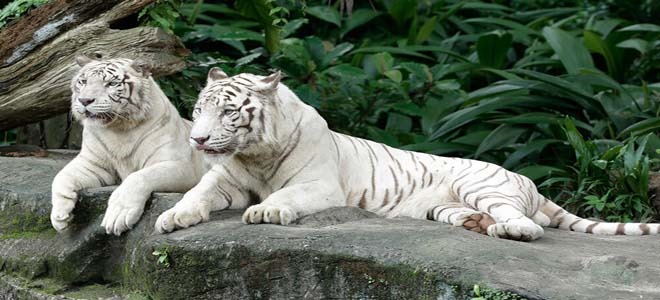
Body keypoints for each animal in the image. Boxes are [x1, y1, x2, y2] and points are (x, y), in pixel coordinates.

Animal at [50, 55, 205, 236]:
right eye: (83, 81)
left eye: (111, 83)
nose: (84, 100)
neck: (118, 130)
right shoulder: (93, 163)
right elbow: (61, 176)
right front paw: (59, 216)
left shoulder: (182, 166)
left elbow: (138, 176)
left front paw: (117, 216)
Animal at [156, 68, 660, 241]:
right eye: (197, 112)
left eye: (228, 113)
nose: (198, 140)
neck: (255, 154)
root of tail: (527, 180)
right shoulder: (225, 179)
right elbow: (197, 194)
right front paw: (172, 217)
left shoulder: (319, 185)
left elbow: (286, 197)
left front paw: (266, 212)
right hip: (443, 205)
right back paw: (476, 224)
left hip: (482, 184)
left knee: (529, 222)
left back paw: (510, 230)